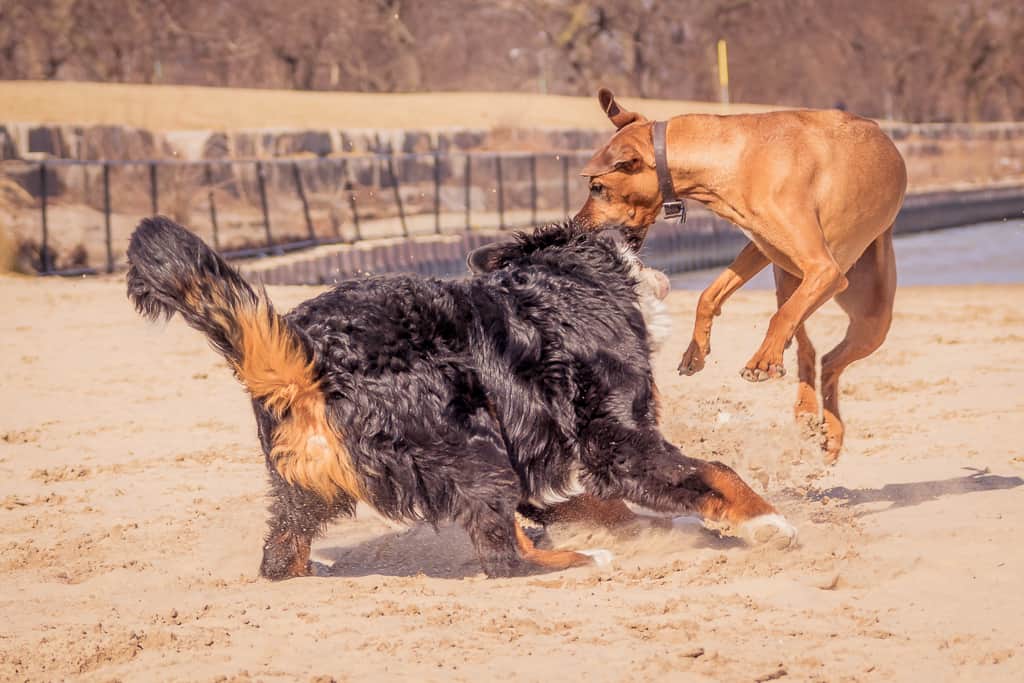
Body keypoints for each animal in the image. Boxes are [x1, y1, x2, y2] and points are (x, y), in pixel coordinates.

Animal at [128, 216, 794, 581]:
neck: (573, 281)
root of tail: (307, 358)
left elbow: (609, 507)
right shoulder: (617, 441)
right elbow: (715, 471)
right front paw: (767, 522)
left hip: (305, 489)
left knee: (279, 554)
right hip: (474, 447)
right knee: (502, 559)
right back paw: (583, 561)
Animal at [577, 88, 905, 462]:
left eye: (597, 188)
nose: (576, 226)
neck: (736, 156)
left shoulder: (824, 268)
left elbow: (781, 317)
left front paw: (760, 362)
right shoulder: (760, 247)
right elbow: (710, 295)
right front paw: (695, 353)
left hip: (871, 317)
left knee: (822, 350)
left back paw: (823, 423)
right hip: (787, 275)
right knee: (813, 352)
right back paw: (812, 416)